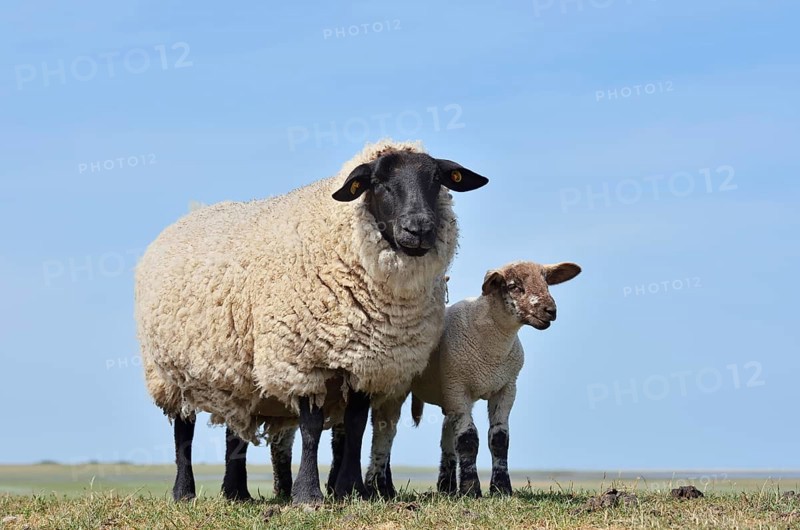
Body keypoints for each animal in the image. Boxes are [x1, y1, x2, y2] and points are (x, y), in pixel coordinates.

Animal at [134, 139, 489, 503]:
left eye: (437, 180)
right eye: (378, 182)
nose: (419, 229)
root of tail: (189, 216)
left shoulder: (366, 362)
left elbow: (355, 426)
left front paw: (350, 489)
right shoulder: (301, 360)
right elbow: (311, 428)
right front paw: (308, 495)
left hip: (236, 368)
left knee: (236, 429)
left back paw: (237, 493)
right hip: (170, 374)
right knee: (183, 431)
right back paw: (184, 492)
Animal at [365, 260, 581, 497]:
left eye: (546, 282)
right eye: (514, 286)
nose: (550, 311)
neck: (493, 347)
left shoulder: (506, 388)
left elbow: (499, 438)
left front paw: (501, 488)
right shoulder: (458, 387)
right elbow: (468, 438)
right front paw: (471, 489)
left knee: (444, 432)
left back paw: (446, 486)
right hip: (399, 386)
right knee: (385, 429)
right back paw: (382, 487)